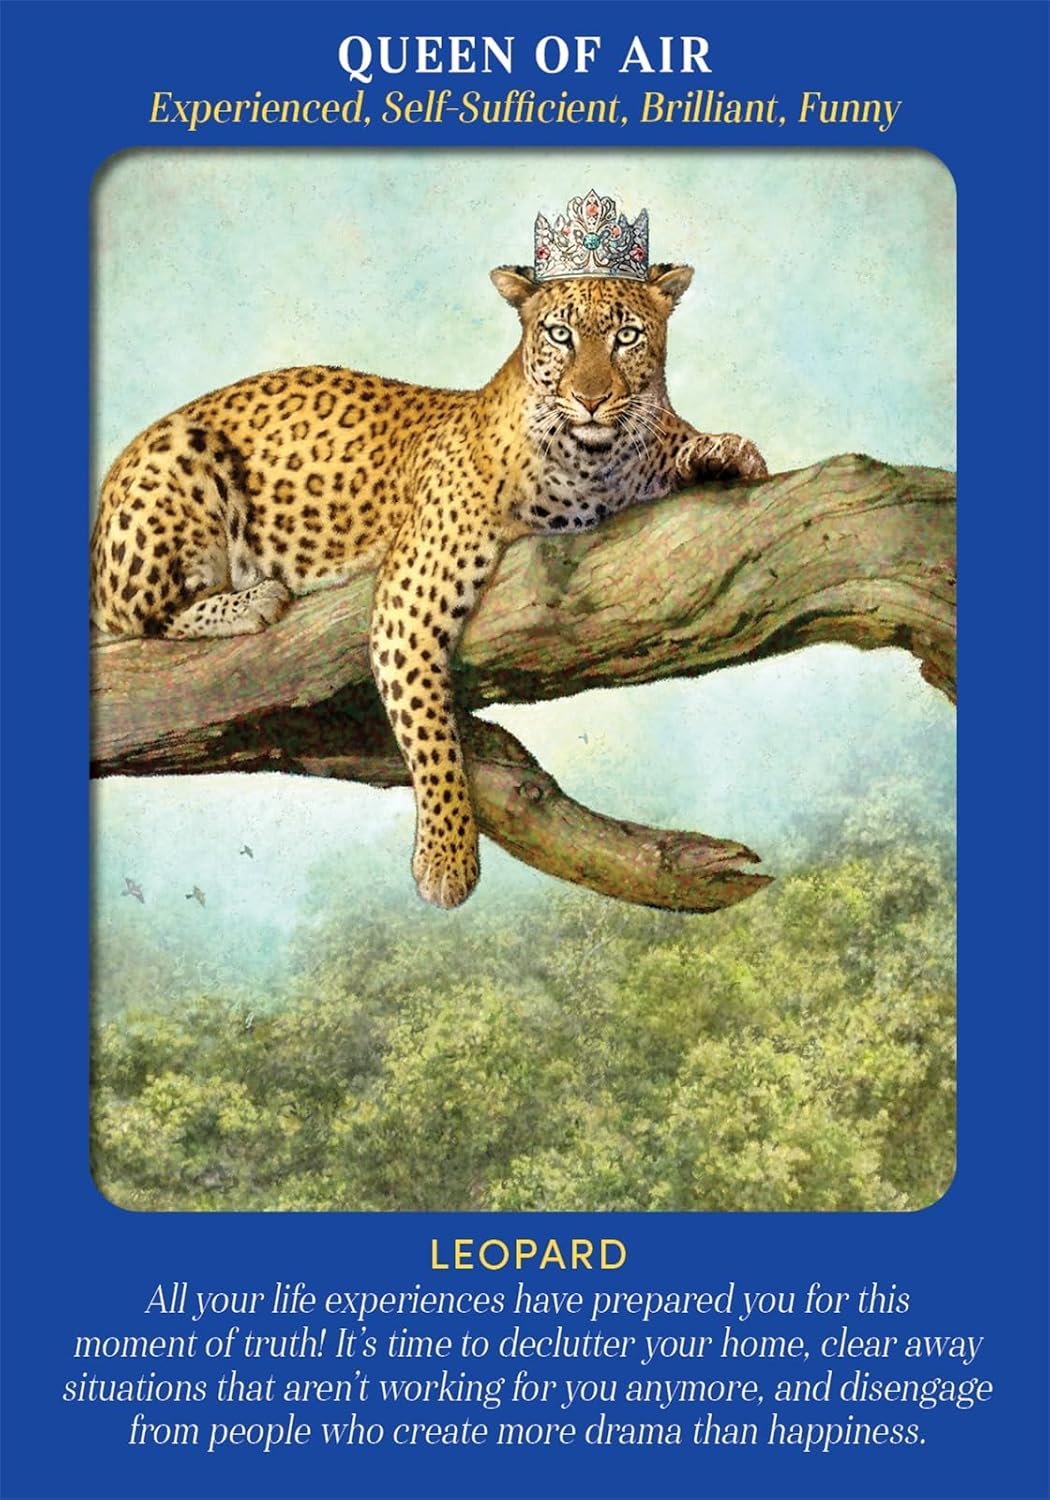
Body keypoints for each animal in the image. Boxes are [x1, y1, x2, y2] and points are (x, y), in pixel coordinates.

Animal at [91, 257, 767, 909]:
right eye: (560, 335)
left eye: (627, 337)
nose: (593, 398)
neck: (596, 464)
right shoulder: (410, 598)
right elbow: (433, 737)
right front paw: (448, 862)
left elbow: (676, 440)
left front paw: (725, 452)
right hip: (174, 471)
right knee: (145, 616)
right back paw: (252, 600)